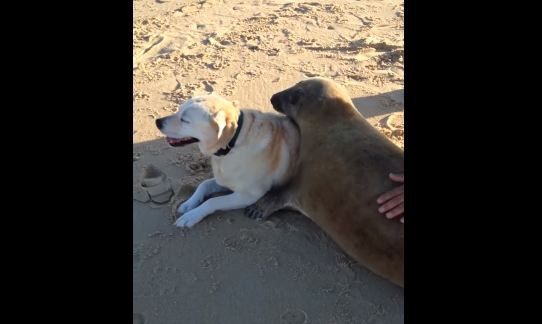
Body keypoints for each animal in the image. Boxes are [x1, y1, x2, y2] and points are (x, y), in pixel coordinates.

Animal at [156, 94, 302, 228]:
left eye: (184, 120)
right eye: (179, 110)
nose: (157, 122)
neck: (233, 143)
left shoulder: (248, 195)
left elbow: (212, 201)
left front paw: (191, 216)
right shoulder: (225, 179)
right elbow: (204, 184)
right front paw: (188, 204)